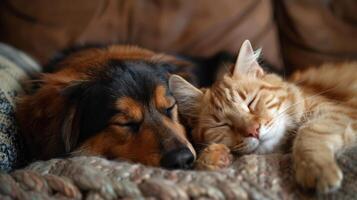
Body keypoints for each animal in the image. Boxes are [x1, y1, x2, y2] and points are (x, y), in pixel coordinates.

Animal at [169, 39, 356, 193]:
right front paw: (211, 158)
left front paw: (315, 168)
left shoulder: (340, 112)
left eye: (251, 102)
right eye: (222, 124)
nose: (254, 131)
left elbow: (308, 132)